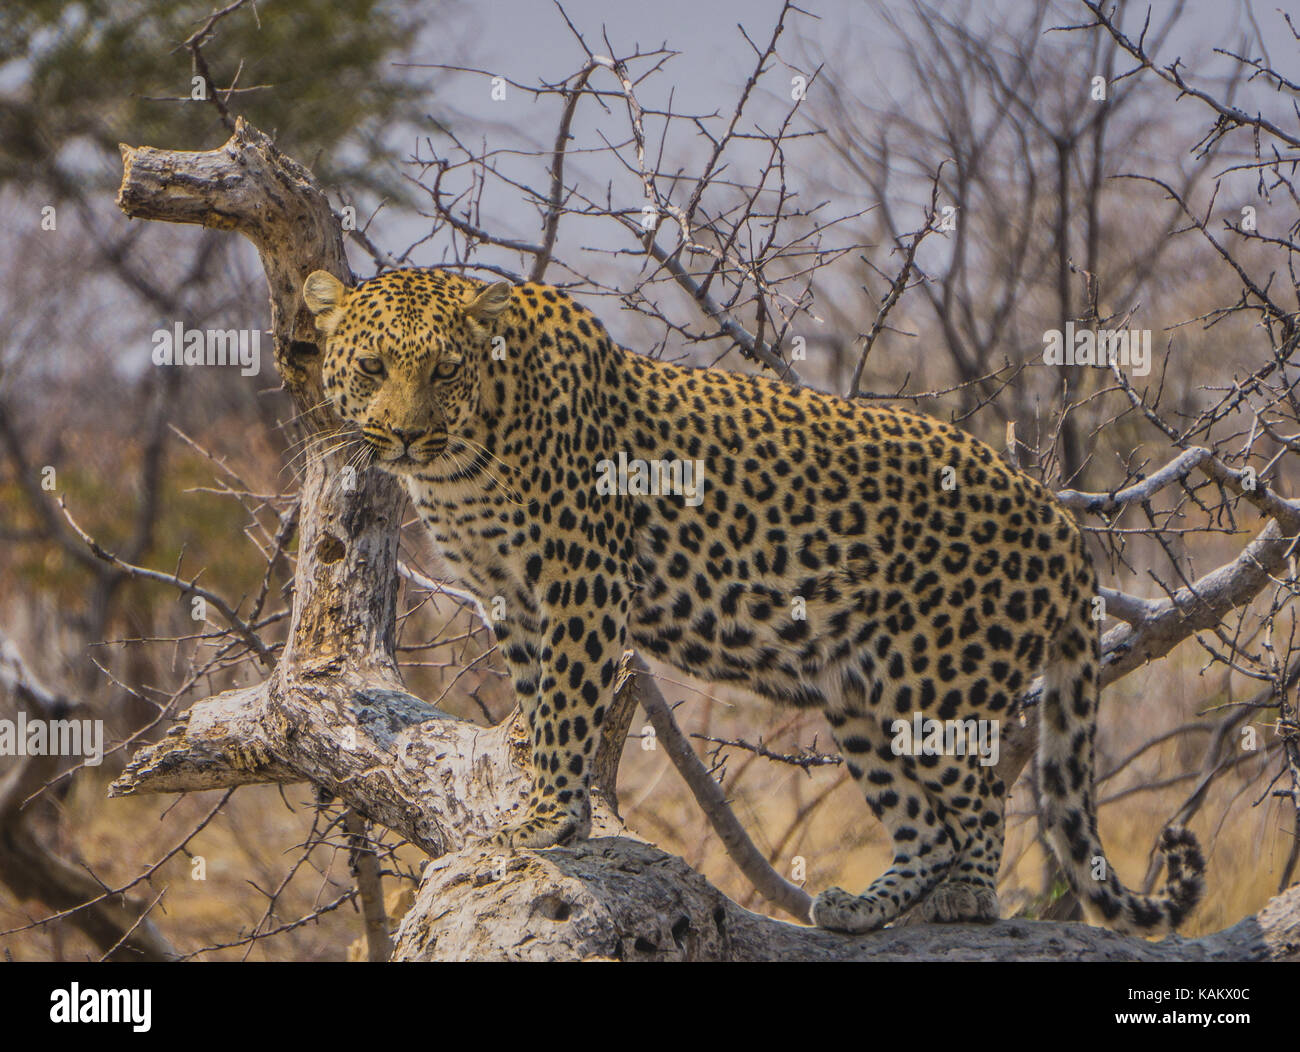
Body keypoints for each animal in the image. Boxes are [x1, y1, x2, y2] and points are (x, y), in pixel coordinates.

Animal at [303, 266, 1205, 935]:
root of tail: (1058, 515)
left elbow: (564, 707)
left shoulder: (581, 578)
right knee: (923, 821)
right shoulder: (511, 595)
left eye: (444, 369)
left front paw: (545, 820)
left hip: (942, 677)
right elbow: (540, 701)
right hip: (859, 692)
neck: (466, 453)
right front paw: (562, 814)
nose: (404, 435)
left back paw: (969, 896)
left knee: (981, 794)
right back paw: (863, 905)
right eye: (373, 367)